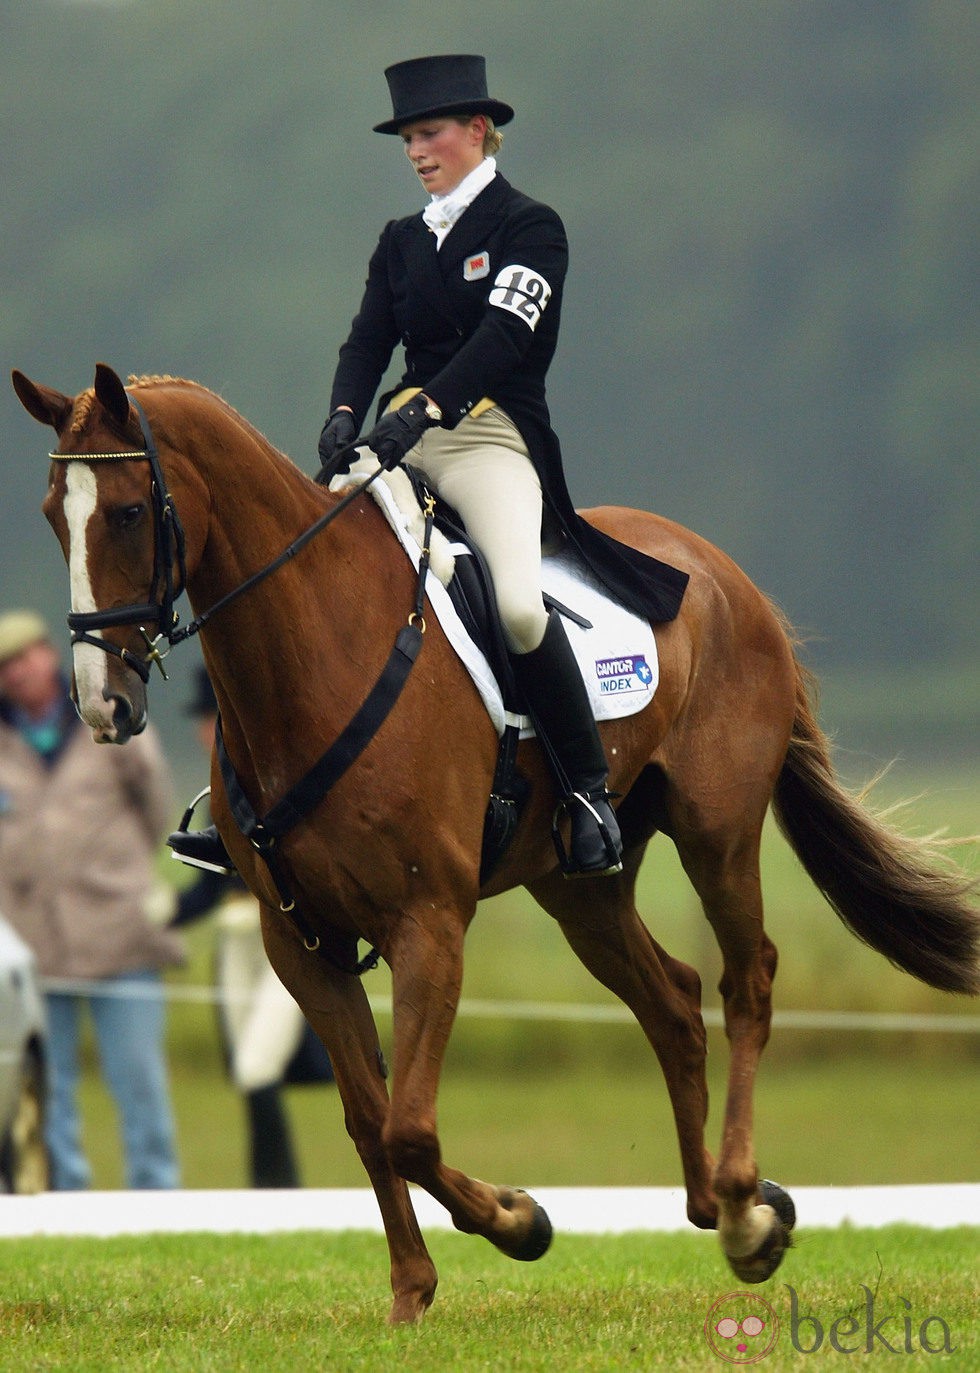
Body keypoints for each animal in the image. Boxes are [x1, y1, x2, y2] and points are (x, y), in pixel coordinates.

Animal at [11, 362, 971, 1318]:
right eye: (54, 512)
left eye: (128, 511)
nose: (103, 704)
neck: (315, 648)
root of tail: (726, 574)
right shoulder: (302, 941)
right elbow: (370, 1121)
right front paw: (412, 1293)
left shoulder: (428, 921)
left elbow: (410, 1127)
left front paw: (520, 1220)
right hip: (580, 886)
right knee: (672, 1001)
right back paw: (717, 1201)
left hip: (719, 831)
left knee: (748, 981)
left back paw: (743, 1212)